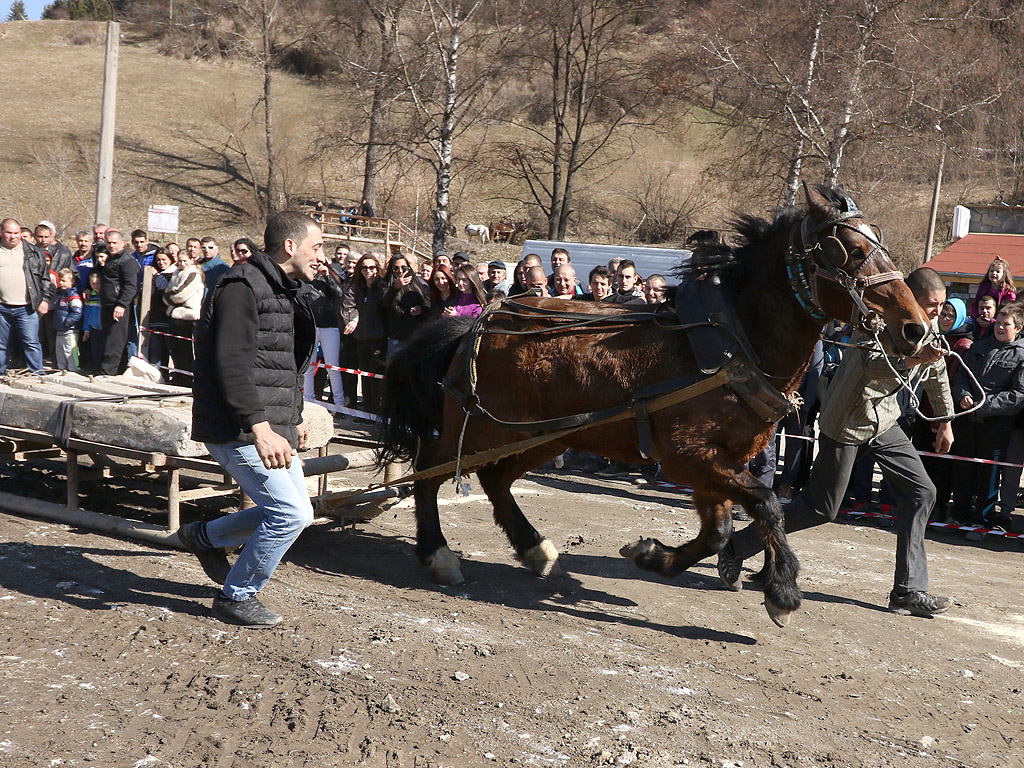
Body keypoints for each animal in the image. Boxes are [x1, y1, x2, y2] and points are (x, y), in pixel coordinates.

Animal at [380, 186, 933, 626]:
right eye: (853, 250)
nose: (916, 329)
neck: (734, 342)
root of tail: (473, 325)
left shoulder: (716, 463)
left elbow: (719, 531)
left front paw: (653, 556)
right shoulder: (687, 456)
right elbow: (769, 504)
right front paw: (782, 589)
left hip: (544, 434)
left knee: (495, 479)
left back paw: (536, 551)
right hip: (480, 429)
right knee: (428, 472)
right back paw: (438, 554)